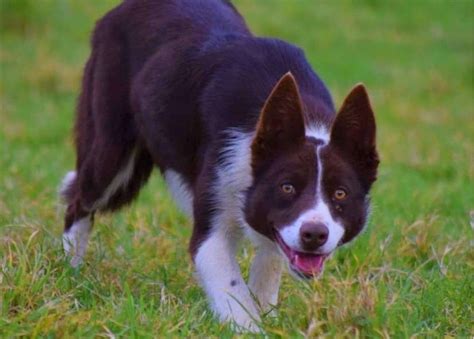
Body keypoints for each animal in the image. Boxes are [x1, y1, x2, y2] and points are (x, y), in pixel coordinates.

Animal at [60, 0, 378, 332]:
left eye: (340, 194)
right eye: (287, 187)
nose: (314, 235)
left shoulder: (272, 223)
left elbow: (269, 263)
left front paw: (267, 314)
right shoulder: (214, 221)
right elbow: (231, 287)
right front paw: (251, 328)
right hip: (112, 155)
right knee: (80, 199)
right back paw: (72, 271)